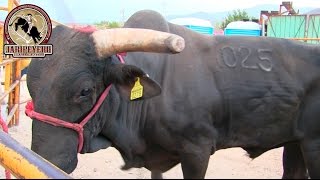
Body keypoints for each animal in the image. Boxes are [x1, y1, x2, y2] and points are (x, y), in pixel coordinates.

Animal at [26, 10, 318, 179]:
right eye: (29, 84)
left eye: (85, 90)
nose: (44, 161)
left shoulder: (197, 151)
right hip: (295, 143)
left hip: (313, 144)